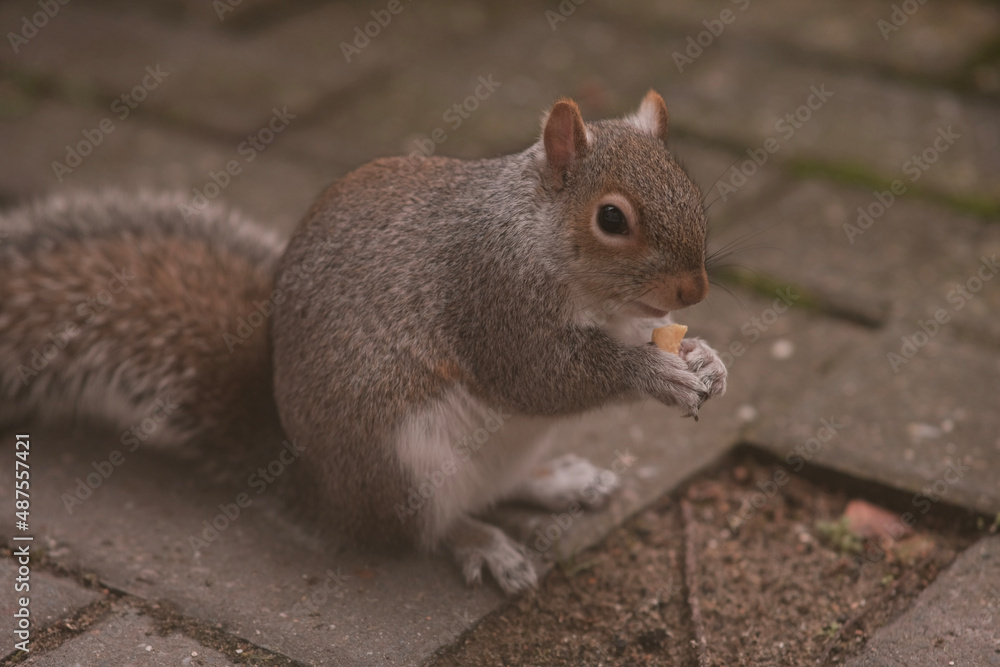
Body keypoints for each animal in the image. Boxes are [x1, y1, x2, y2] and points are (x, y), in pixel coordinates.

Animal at [0, 90, 726, 595]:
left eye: (691, 185)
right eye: (612, 218)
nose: (694, 290)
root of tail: (321, 491)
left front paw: (703, 358)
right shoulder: (492, 299)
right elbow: (542, 378)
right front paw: (652, 371)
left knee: (499, 484)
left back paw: (560, 480)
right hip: (404, 460)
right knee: (426, 527)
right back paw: (483, 543)